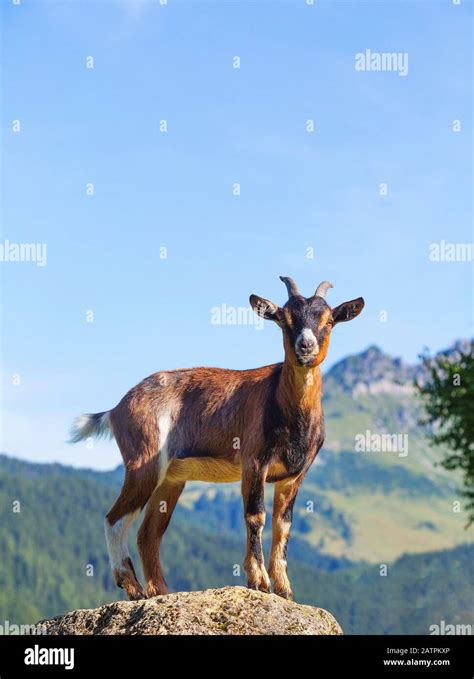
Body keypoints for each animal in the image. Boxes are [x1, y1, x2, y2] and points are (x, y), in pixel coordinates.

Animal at [70, 276, 364, 600]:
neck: (282, 404)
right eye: (284, 319)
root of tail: (116, 409)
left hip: (171, 479)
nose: (306, 346)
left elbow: (283, 525)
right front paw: (259, 581)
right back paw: (133, 588)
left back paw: (161, 591)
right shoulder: (254, 463)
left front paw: (284, 588)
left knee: (149, 533)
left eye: (328, 320)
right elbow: (256, 517)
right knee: (115, 518)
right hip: (144, 462)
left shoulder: (294, 475)